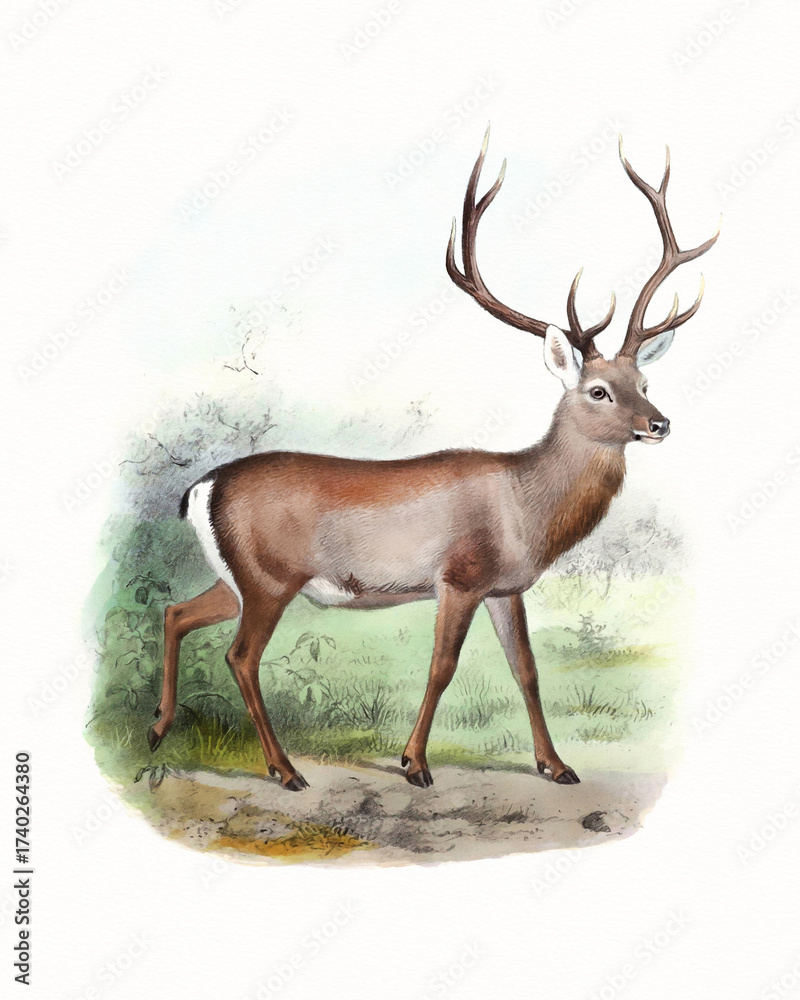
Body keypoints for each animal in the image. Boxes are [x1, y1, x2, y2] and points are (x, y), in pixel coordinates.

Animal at [148, 129, 718, 791]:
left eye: (644, 380)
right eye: (598, 390)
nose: (660, 424)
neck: (524, 509)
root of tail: (200, 489)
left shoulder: (505, 587)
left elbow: (526, 669)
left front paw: (555, 765)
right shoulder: (460, 575)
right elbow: (442, 666)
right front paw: (414, 763)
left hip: (237, 575)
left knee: (176, 612)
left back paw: (159, 728)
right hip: (270, 576)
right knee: (240, 655)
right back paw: (284, 770)